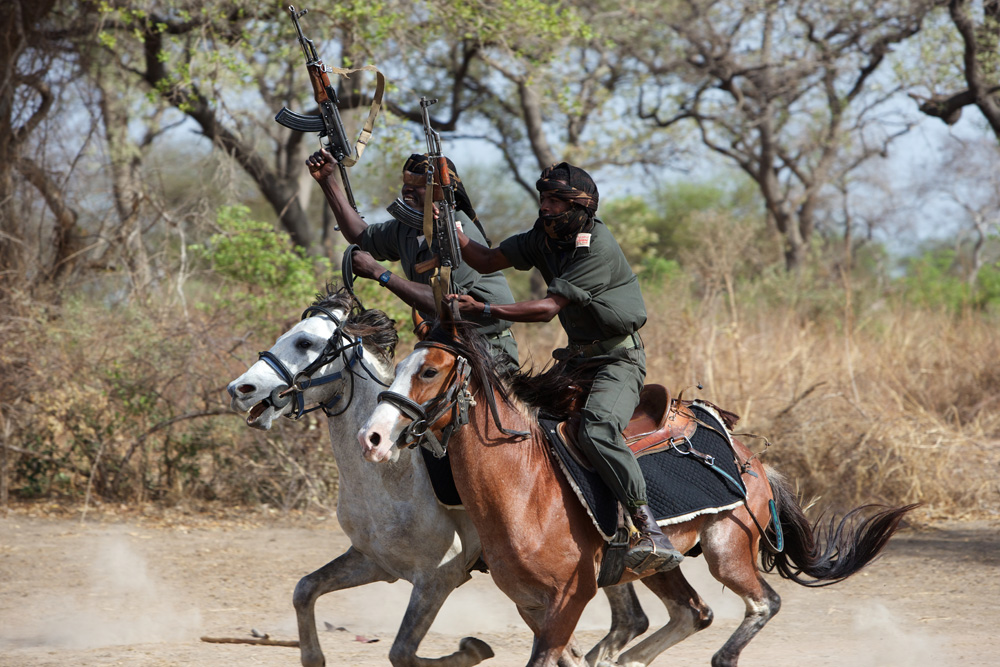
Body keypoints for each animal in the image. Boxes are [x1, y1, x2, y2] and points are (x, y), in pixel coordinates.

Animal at [227, 290, 648, 667]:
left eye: (305, 341)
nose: (239, 389)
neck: (390, 479)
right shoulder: (373, 561)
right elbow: (305, 590)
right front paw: (313, 656)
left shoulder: (437, 577)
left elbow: (402, 652)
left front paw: (473, 650)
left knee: (630, 618)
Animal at [358, 320, 916, 667]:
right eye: (399, 366)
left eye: (429, 370)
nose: (373, 437)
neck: (525, 490)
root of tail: (752, 461)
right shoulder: (530, 604)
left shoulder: (568, 599)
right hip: (658, 565)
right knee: (694, 612)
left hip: (727, 551)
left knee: (763, 603)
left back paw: (719, 655)